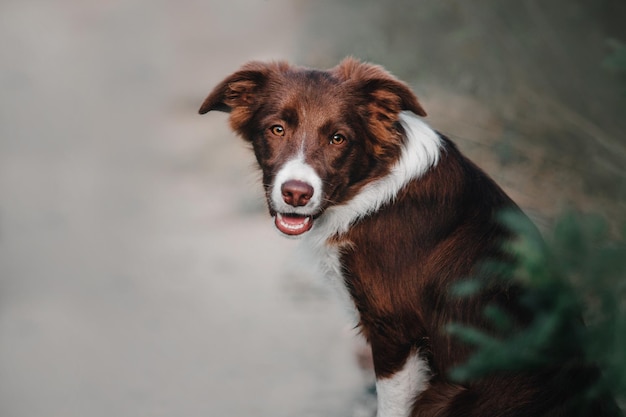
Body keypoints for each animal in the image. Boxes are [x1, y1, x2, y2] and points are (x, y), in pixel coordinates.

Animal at [199, 57, 616, 416]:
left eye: (338, 138)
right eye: (277, 129)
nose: (296, 194)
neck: (369, 184)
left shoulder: (397, 335)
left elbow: (391, 405)